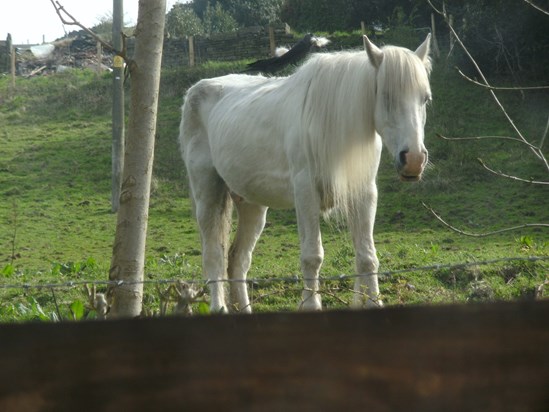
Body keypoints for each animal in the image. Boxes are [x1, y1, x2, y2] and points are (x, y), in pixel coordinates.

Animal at [178, 35, 430, 312]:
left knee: (238, 260)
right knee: (213, 254)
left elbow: (367, 257)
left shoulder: (363, 194)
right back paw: (218, 307)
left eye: (425, 99)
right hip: (208, 196)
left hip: (252, 205)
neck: (330, 124)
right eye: (386, 96)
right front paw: (311, 305)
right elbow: (312, 256)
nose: (414, 160)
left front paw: (374, 301)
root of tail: (195, 90)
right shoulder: (306, 193)